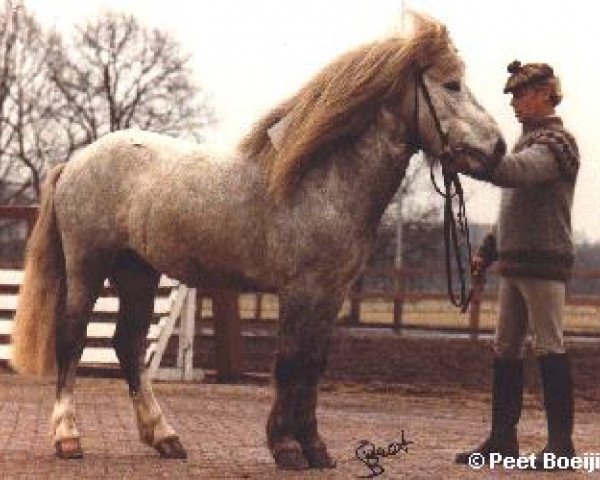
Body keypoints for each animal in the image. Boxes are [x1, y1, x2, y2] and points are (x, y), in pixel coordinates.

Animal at [11, 13, 504, 470]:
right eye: (452, 84)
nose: (498, 148)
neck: (321, 181)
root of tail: (76, 160)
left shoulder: (331, 294)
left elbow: (313, 364)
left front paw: (316, 448)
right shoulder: (300, 290)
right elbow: (289, 363)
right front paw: (287, 448)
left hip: (138, 272)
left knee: (128, 346)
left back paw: (165, 438)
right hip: (88, 265)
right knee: (72, 338)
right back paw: (68, 437)